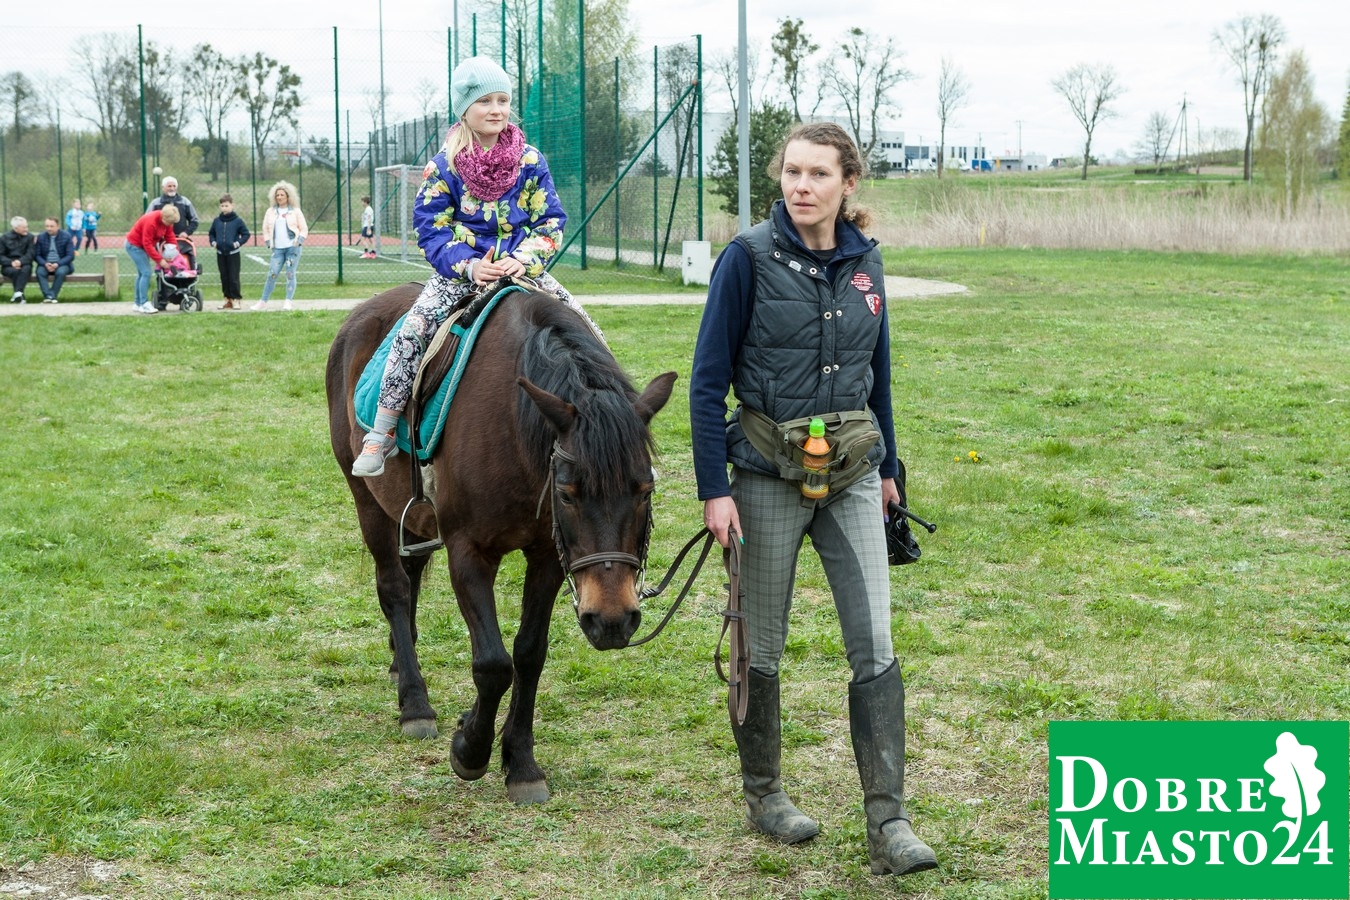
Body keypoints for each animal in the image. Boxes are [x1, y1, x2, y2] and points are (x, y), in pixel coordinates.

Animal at [326, 283, 677, 804]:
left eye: (645, 489)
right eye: (568, 493)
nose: (613, 621)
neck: (514, 429)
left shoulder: (549, 556)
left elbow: (529, 654)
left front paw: (521, 762)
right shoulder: (468, 551)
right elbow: (493, 663)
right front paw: (470, 749)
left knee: (410, 579)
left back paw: (398, 660)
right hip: (365, 497)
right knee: (393, 587)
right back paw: (415, 702)